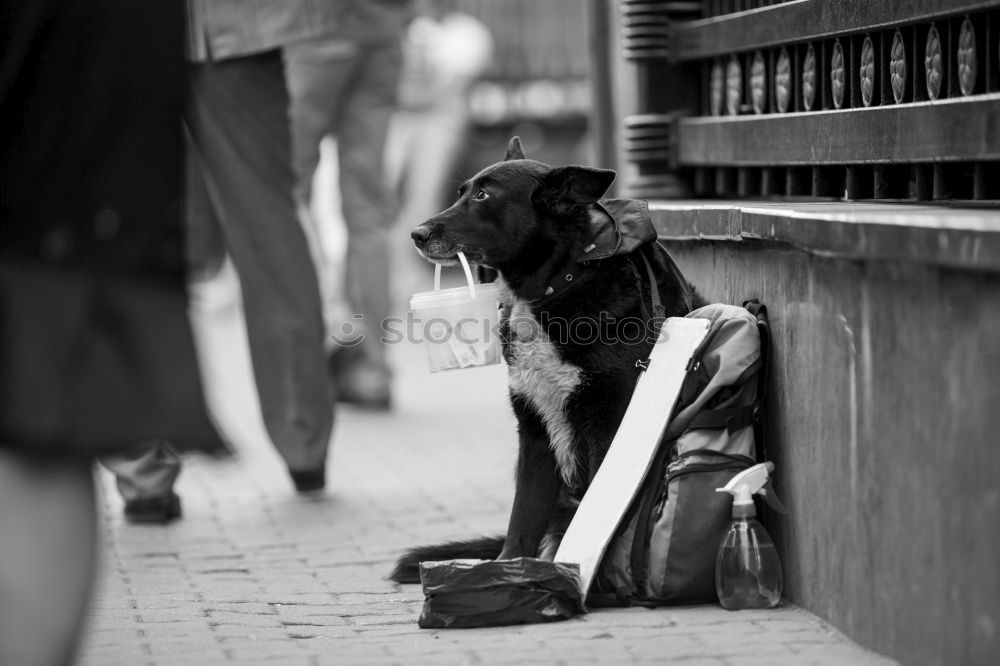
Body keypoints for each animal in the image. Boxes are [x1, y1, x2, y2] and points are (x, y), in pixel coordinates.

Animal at [388, 136, 696, 580]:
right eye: (462, 191)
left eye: (483, 195)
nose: (416, 233)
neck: (555, 285)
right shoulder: (534, 432)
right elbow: (523, 518)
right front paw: (507, 571)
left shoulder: (608, 424)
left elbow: (598, 515)